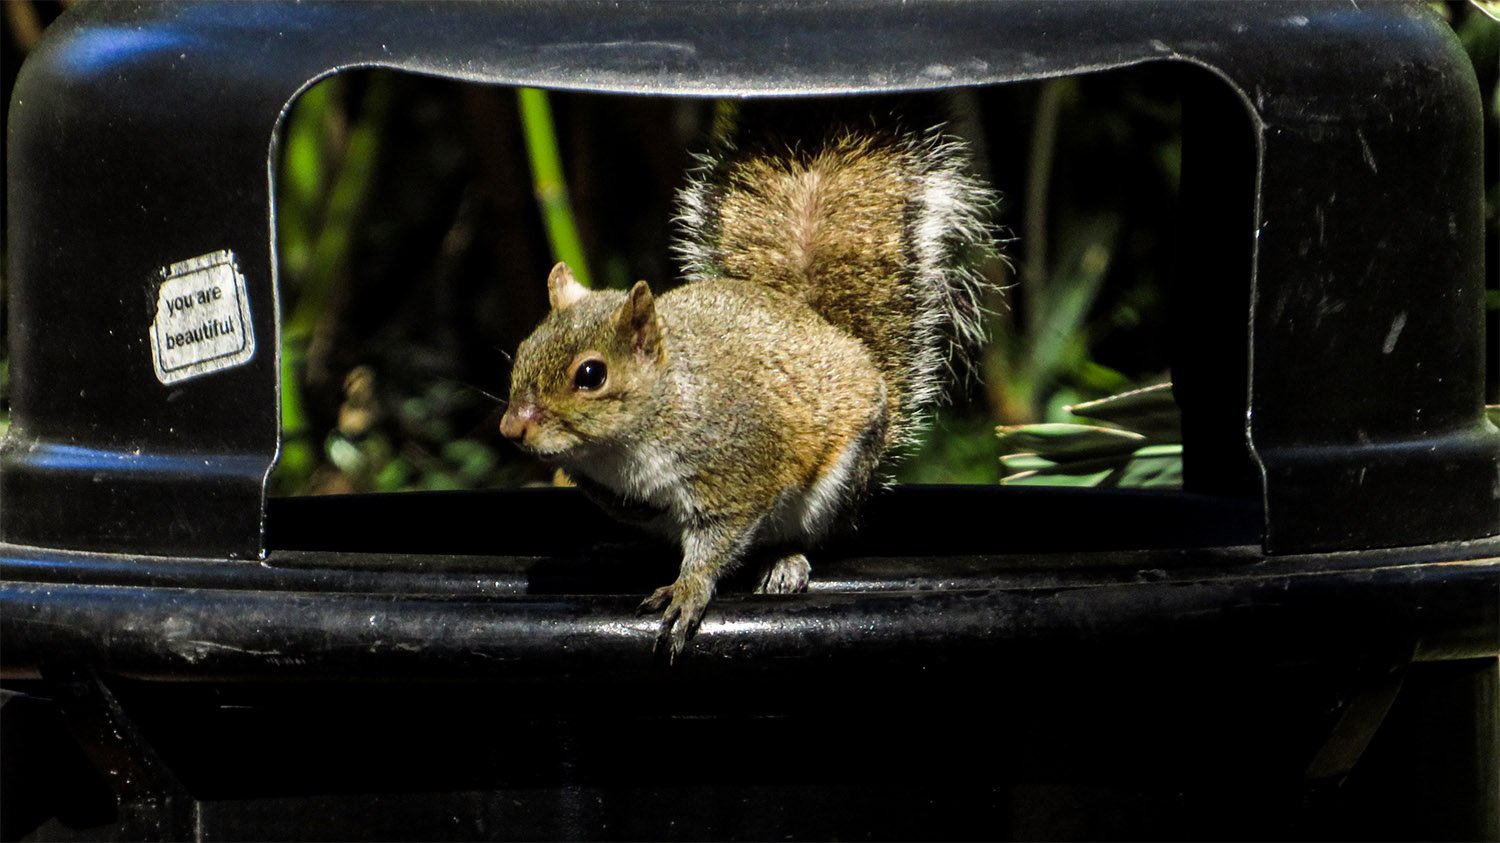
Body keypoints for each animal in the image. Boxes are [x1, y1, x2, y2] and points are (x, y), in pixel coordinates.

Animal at [500, 105, 998, 660]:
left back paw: (785, 562)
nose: (511, 429)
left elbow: (718, 540)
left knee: (810, 534)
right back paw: (618, 549)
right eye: (523, 350)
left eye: (591, 374)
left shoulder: (736, 473)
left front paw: (689, 590)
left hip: (835, 485)